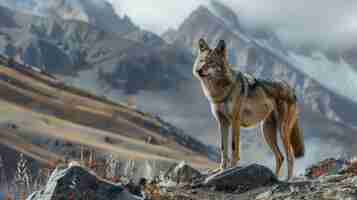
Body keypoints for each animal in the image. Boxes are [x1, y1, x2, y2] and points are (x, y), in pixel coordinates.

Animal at [193, 38, 304, 179]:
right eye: (202, 60)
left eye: (211, 62)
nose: (199, 70)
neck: (220, 91)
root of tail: (292, 89)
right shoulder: (222, 122)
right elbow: (223, 148)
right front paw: (220, 170)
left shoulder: (235, 121)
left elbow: (234, 147)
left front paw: (232, 169)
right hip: (266, 132)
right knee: (280, 156)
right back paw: (274, 177)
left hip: (282, 131)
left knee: (290, 156)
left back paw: (287, 180)